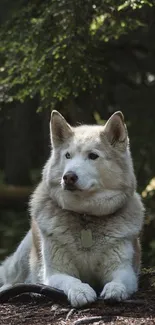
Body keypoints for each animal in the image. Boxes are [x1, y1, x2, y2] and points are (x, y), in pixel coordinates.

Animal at [0, 110, 144, 306]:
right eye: (68, 155)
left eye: (93, 156)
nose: (68, 177)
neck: (85, 216)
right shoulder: (55, 273)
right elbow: (71, 281)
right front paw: (81, 291)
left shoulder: (124, 269)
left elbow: (118, 281)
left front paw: (115, 290)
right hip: (22, 258)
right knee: (12, 279)